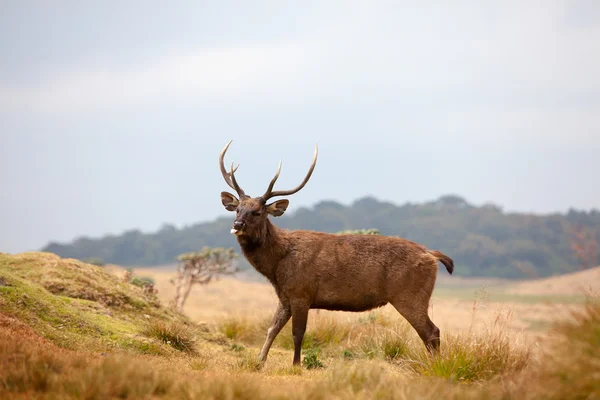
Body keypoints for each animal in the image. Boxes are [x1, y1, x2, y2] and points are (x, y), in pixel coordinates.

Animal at [218, 140, 452, 366]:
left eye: (257, 212)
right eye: (238, 209)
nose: (237, 224)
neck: (277, 265)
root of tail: (432, 255)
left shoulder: (301, 291)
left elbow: (297, 333)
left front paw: (296, 365)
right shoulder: (285, 295)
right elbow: (271, 329)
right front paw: (260, 361)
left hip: (410, 295)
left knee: (431, 331)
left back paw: (436, 367)